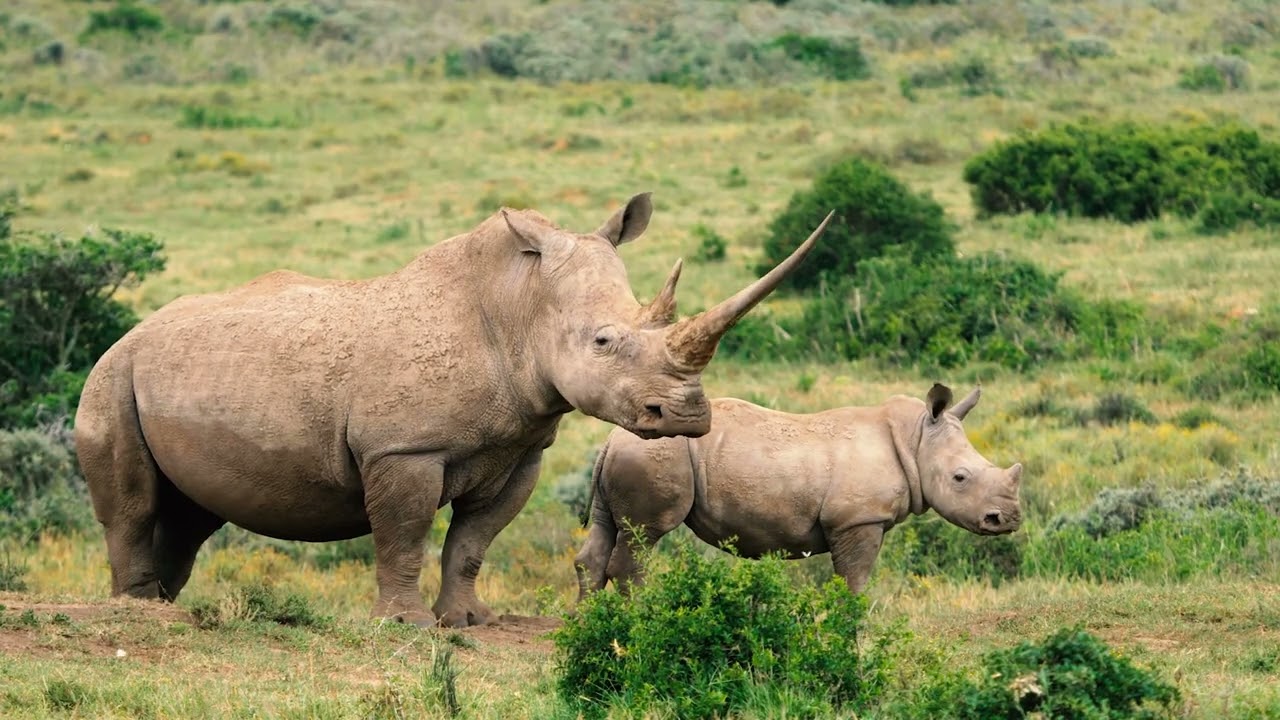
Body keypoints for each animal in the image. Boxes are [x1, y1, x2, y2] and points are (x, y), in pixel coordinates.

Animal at [75, 193, 832, 627]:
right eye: (603, 341)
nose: (687, 418)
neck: (519, 306)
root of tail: (135, 329)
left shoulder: (521, 449)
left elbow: (473, 541)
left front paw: (469, 621)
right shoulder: (403, 449)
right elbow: (405, 535)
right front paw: (405, 626)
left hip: (175, 373)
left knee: (191, 514)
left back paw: (164, 603)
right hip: (113, 375)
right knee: (135, 501)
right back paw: (138, 610)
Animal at [574, 384, 1023, 598]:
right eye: (960, 478)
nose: (1008, 519)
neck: (915, 440)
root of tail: (611, 439)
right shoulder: (858, 520)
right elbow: (854, 584)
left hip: (631, 454)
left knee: (604, 538)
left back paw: (587, 636)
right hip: (655, 455)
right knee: (643, 537)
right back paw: (640, 624)